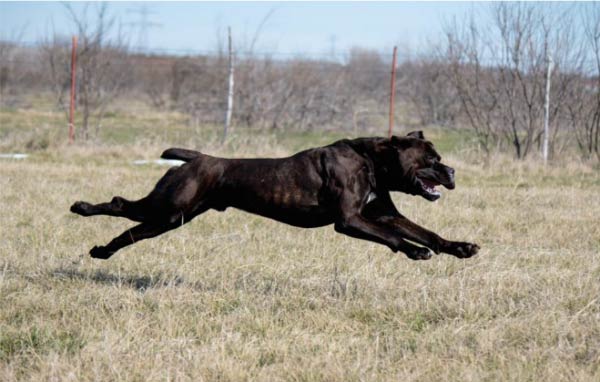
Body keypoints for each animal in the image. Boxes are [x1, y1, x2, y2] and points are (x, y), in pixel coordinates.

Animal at [71, 131, 478, 260]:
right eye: (431, 159)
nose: (453, 172)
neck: (372, 162)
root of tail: (197, 158)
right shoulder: (351, 221)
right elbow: (395, 238)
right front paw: (413, 252)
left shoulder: (383, 214)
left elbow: (426, 232)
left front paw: (459, 247)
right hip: (169, 209)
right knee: (121, 207)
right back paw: (82, 209)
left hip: (171, 217)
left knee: (131, 229)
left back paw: (101, 251)